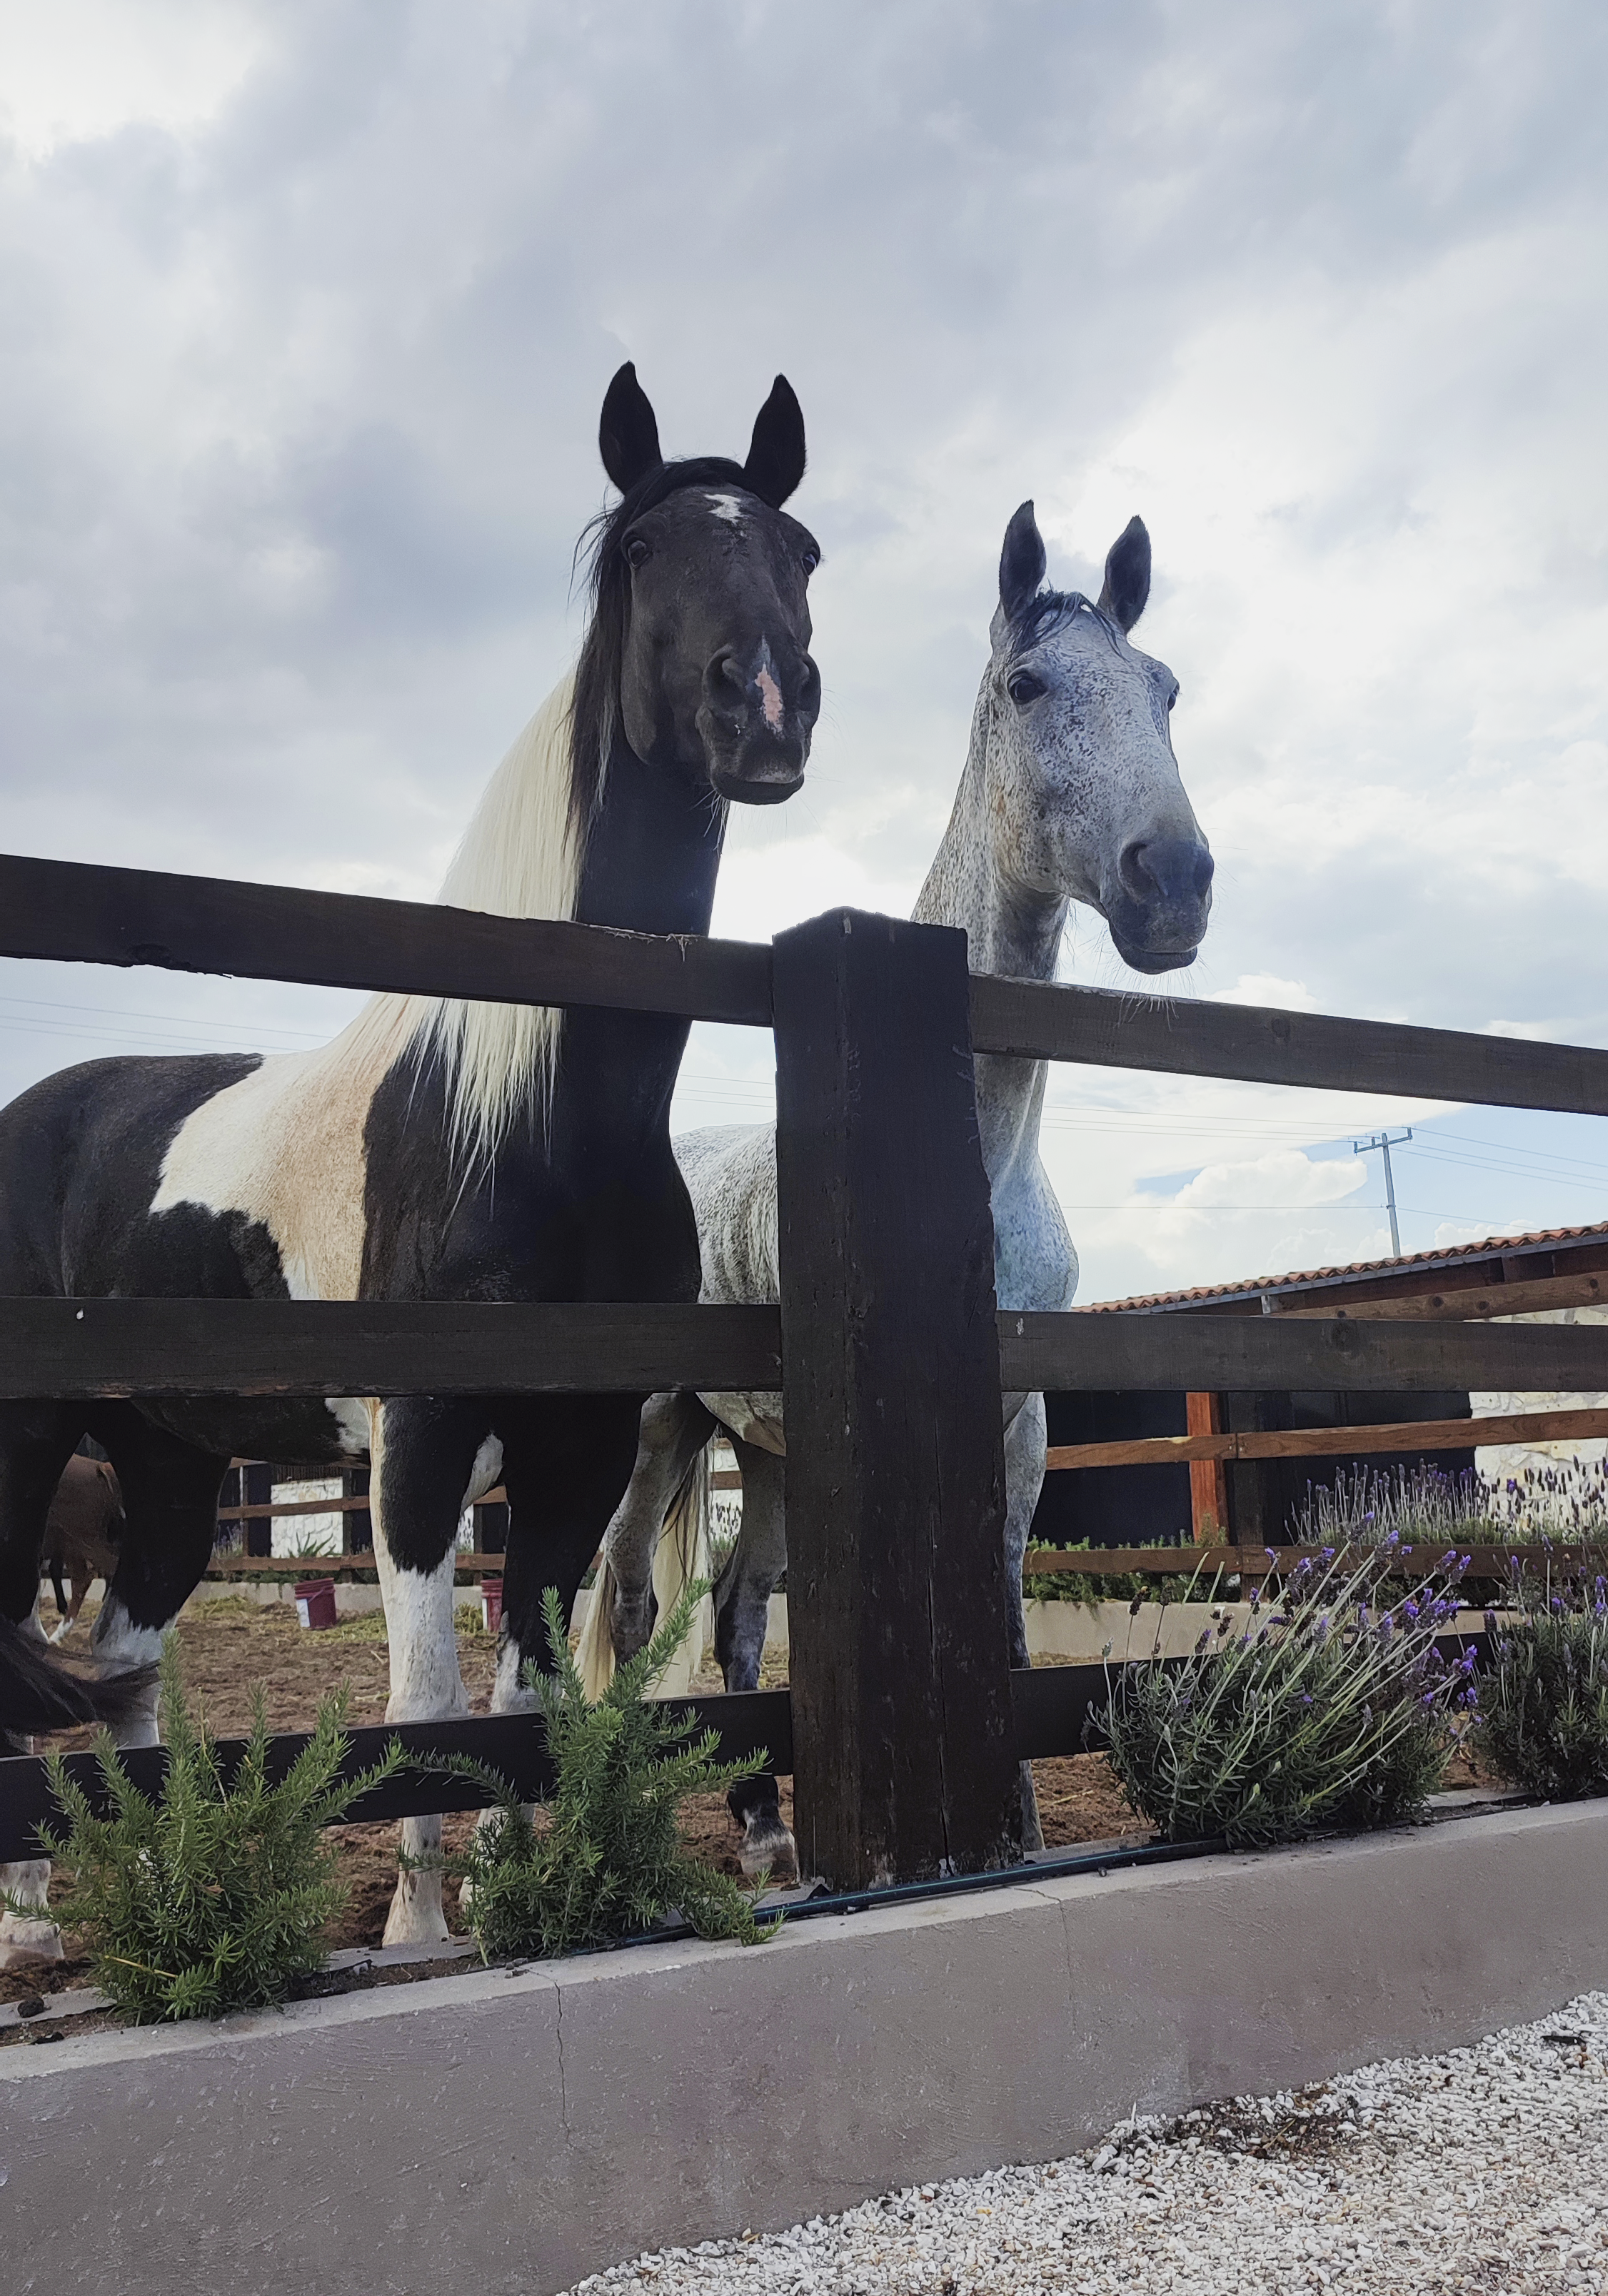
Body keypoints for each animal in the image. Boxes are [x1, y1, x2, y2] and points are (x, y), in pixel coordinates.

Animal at [0, 362, 822, 1962]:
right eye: (647, 551)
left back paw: (154, 1887)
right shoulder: (422, 1445)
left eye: (800, 553)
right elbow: (425, 1704)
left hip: (164, 1457)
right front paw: (420, 1931)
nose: (762, 704)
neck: (528, 1118)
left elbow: (523, 1695)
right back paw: (28, 1928)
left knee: (123, 1658)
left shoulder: (576, 1453)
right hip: (24, 1439)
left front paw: (514, 1902)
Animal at [579, 499, 1213, 1880]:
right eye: (1027, 686)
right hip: (656, 1428)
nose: (1176, 880)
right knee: (625, 1598)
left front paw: (1021, 1833)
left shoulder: (1018, 1423)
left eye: (1166, 689)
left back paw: (767, 1829)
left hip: (753, 1447)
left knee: (735, 1609)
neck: (973, 1169)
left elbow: (1010, 1628)